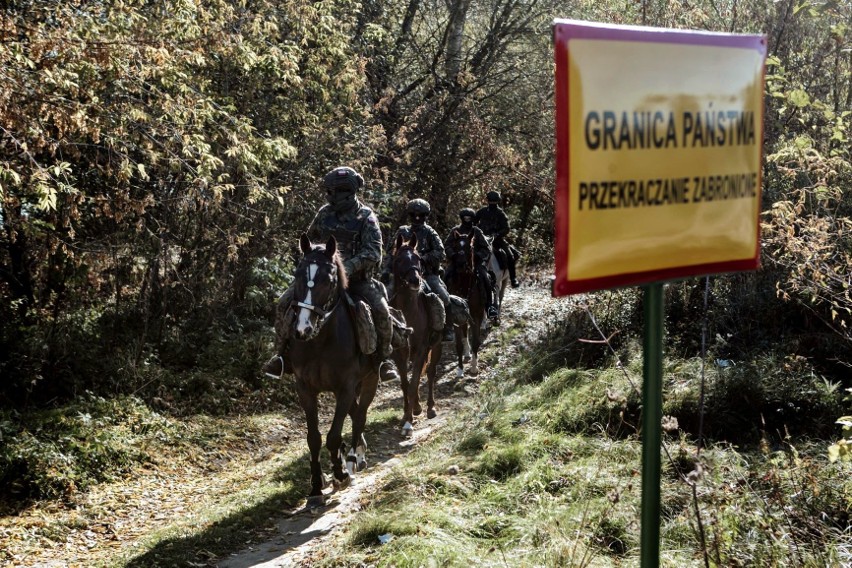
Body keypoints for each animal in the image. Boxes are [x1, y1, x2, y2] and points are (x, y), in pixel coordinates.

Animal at [288, 233, 382, 508]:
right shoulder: (305, 390)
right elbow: (314, 438)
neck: (320, 340)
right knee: (355, 413)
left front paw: (340, 473)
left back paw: (352, 460)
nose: (302, 329)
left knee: (360, 416)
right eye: (298, 274)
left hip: (371, 379)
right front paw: (316, 486)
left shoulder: (346, 387)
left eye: (328, 281)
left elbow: (333, 435)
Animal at [392, 233, 446, 438]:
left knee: (430, 373)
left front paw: (408, 423)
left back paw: (430, 407)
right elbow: (405, 383)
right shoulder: (400, 352)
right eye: (398, 259)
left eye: (418, 258)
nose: (415, 281)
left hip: (436, 346)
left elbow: (415, 381)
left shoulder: (422, 348)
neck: (409, 314)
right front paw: (407, 414)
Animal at [442, 226, 482, 378]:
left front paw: (474, 367)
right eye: (456, 246)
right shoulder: (456, 318)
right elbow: (459, 344)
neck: (464, 286)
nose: (460, 264)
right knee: (464, 333)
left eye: (470, 247)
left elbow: (476, 341)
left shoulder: (476, 315)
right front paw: (460, 369)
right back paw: (466, 353)